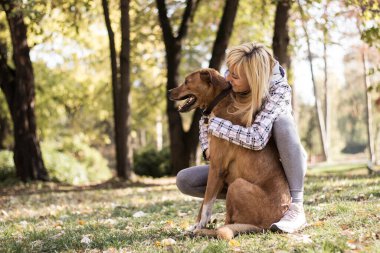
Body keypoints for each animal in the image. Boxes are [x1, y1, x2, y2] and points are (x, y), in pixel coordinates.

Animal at [169, 67, 290, 239]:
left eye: (186, 81)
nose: (168, 91)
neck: (219, 101)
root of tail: (267, 226)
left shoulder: (216, 168)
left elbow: (207, 203)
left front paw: (199, 225)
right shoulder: (214, 171)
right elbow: (204, 202)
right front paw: (196, 224)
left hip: (236, 185)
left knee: (226, 225)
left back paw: (204, 231)